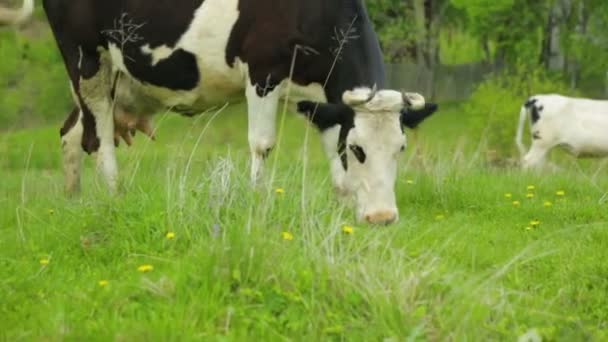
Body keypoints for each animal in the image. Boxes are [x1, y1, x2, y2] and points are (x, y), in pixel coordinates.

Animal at [39, 0, 436, 224]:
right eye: (358, 148)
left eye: (401, 148)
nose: (383, 217)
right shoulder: (262, 71)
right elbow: (262, 144)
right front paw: (258, 204)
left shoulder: (323, 103)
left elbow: (337, 170)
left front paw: (345, 210)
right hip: (87, 59)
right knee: (99, 139)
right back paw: (114, 197)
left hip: (115, 82)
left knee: (73, 132)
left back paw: (73, 201)